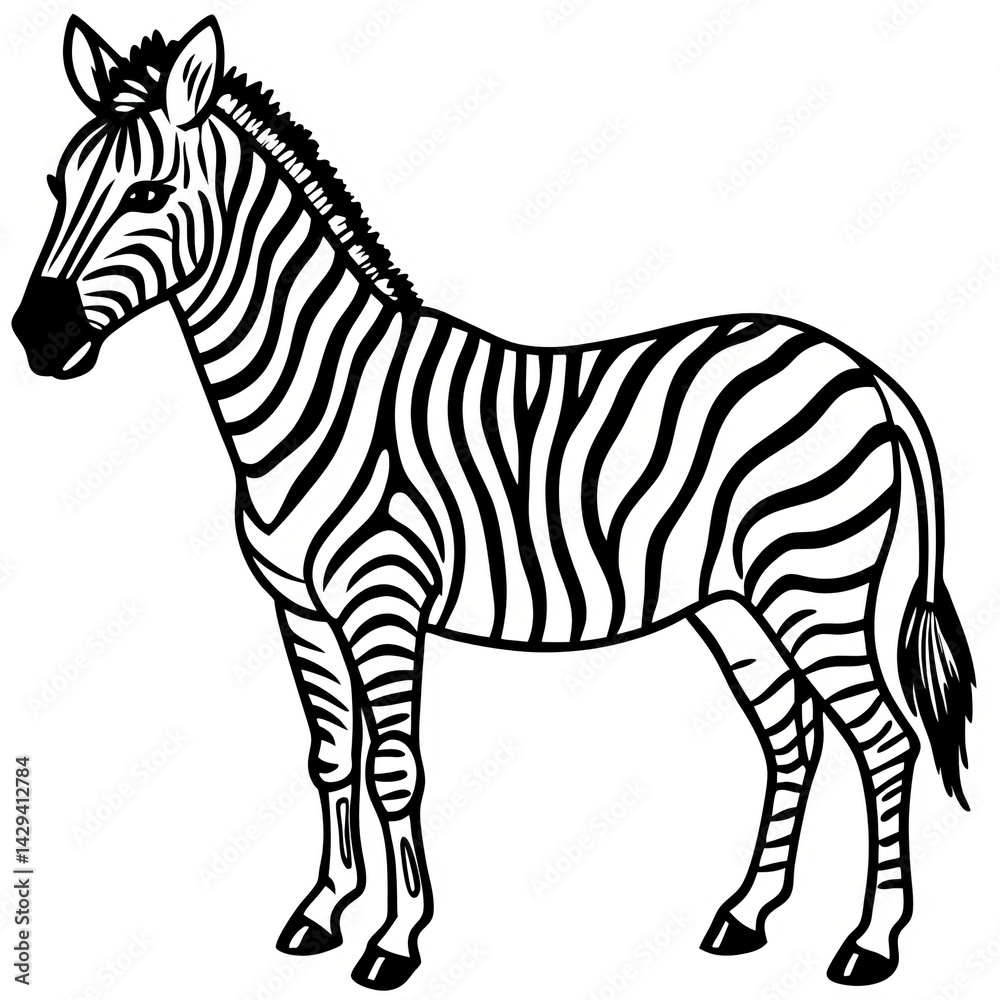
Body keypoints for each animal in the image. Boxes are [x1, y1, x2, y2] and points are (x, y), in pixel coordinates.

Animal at [12, 15, 974, 991]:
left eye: (149, 193)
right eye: (55, 184)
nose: (34, 339)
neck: (317, 391)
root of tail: (866, 372)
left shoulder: (384, 599)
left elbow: (394, 766)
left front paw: (395, 940)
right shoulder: (301, 612)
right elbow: (330, 759)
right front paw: (323, 912)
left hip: (814, 585)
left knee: (885, 741)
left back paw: (870, 944)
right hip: (736, 602)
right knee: (791, 738)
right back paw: (745, 916)